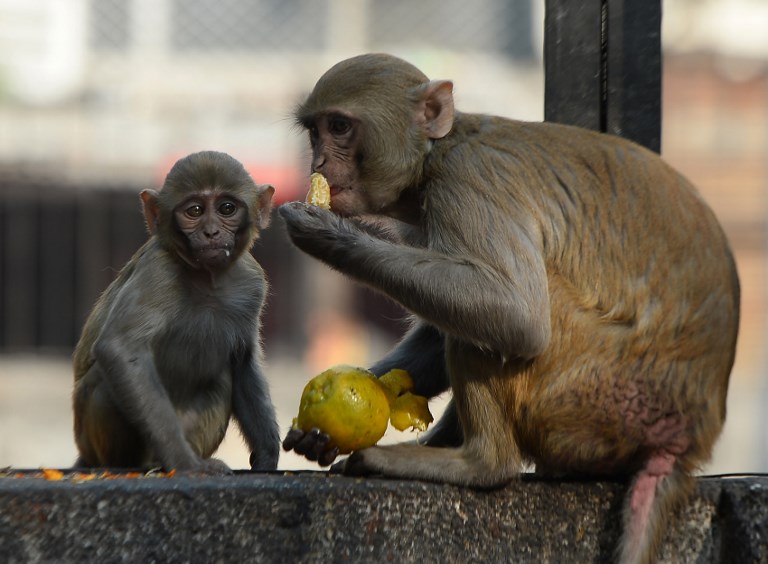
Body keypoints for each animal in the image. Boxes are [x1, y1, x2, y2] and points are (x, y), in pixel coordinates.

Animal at [73, 150, 280, 475]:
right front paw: (184, 461)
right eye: (194, 211)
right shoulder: (158, 270)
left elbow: (243, 362)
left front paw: (268, 455)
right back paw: (135, 463)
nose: (211, 231)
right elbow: (120, 349)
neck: (208, 279)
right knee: (104, 380)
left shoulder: (252, 281)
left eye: (227, 208)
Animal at [279, 54, 740, 563]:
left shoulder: (467, 182)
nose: (318, 161)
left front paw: (331, 235)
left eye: (340, 127)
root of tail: (683, 442)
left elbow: (513, 316)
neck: (436, 154)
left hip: (593, 399)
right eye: (315, 131)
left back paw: (478, 463)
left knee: (516, 324)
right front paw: (322, 430)